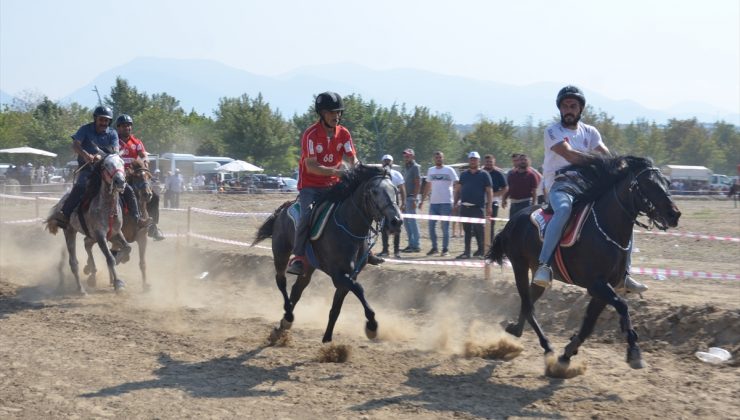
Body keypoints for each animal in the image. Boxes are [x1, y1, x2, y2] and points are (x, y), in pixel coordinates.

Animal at [44, 153, 129, 294]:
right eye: (106, 165)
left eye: (122, 162)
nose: (120, 181)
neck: (108, 209)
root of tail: (62, 201)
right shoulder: (100, 235)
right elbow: (110, 258)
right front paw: (118, 283)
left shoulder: (116, 233)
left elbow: (127, 247)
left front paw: (121, 258)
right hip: (70, 231)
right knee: (73, 262)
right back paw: (81, 289)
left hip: (91, 235)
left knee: (87, 244)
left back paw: (91, 273)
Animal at [79, 158, 154, 292]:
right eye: (136, 177)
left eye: (149, 177)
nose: (147, 194)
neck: (135, 214)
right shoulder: (115, 237)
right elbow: (117, 254)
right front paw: (119, 263)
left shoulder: (142, 238)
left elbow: (142, 262)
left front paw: (145, 285)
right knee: (88, 243)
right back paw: (91, 272)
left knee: (87, 242)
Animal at [254, 162, 404, 342]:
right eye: (374, 191)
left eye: (395, 189)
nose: (396, 221)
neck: (348, 226)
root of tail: (283, 209)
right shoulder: (338, 274)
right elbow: (359, 289)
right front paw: (372, 326)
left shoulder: (348, 276)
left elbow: (336, 308)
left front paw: (327, 338)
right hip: (281, 253)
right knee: (281, 281)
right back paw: (288, 316)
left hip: (308, 266)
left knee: (296, 290)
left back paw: (284, 323)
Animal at [486, 156, 684, 370]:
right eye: (648, 184)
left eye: (667, 182)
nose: (674, 214)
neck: (605, 228)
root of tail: (512, 221)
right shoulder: (596, 284)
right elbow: (622, 306)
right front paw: (634, 352)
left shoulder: (603, 289)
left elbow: (589, 324)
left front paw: (568, 353)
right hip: (519, 266)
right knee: (528, 305)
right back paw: (546, 345)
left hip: (536, 274)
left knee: (528, 302)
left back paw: (516, 329)